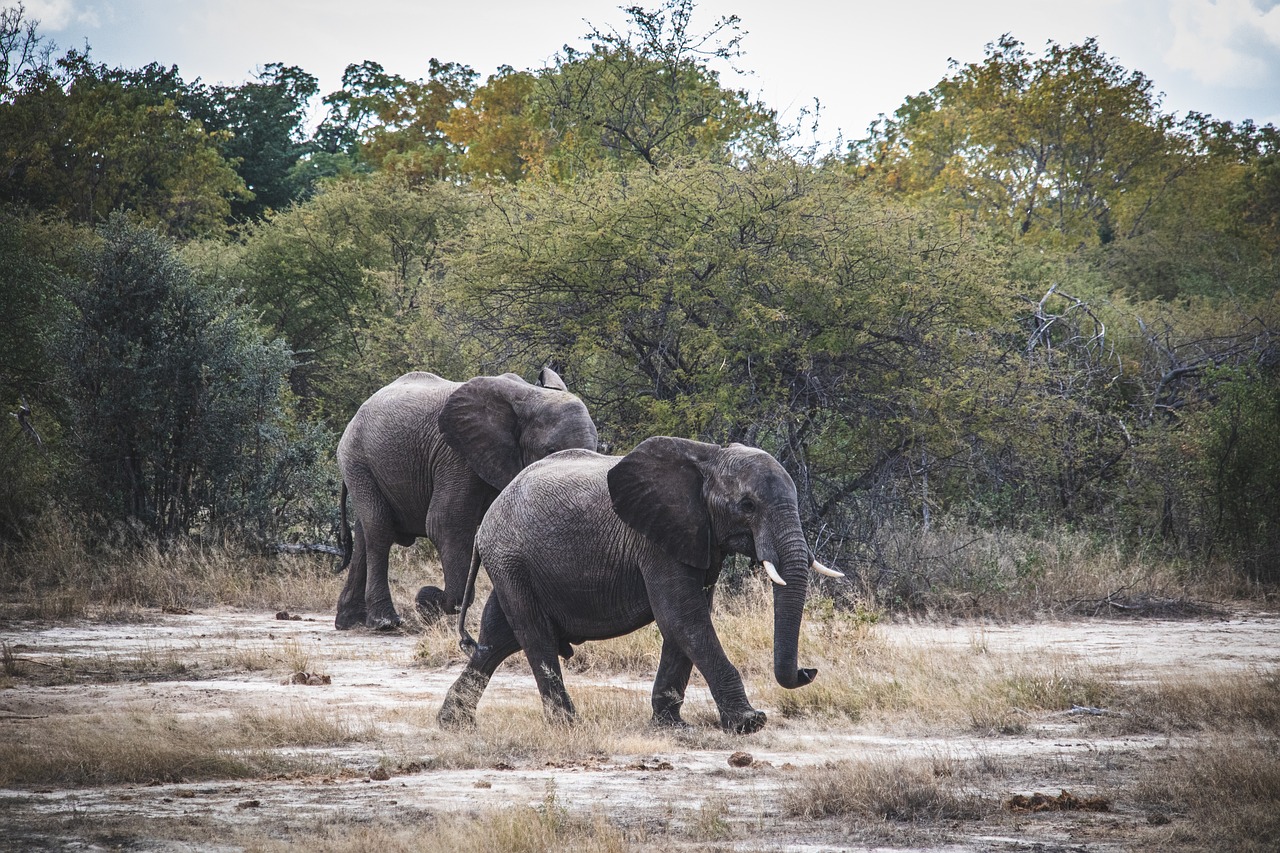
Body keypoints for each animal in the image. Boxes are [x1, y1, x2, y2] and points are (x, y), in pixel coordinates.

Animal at [332, 368, 596, 627]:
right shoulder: (456, 456)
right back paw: (385, 622)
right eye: (550, 451)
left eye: (599, 449)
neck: (530, 396)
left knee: (364, 533)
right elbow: (445, 523)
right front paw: (429, 600)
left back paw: (349, 621)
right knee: (379, 530)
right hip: (357, 460)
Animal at [435, 438, 844, 732]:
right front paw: (749, 723)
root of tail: (486, 523)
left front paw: (671, 725)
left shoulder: (698, 538)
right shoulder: (654, 540)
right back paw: (568, 725)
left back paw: (454, 723)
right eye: (747, 505)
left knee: (496, 637)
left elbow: (687, 620)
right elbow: (682, 617)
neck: (709, 457)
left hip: (512, 564)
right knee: (532, 634)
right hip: (510, 559)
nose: (808, 672)